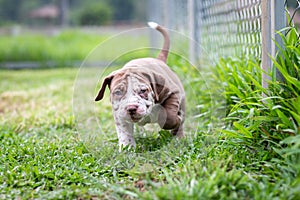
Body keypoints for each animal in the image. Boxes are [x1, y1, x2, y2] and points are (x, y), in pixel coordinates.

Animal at [95, 22, 185, 150]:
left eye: (143, 90)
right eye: (118, 92)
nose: (131, 108)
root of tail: (159, 60)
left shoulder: (172, 93)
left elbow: (169, 116)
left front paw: (176, 122)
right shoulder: (119, 113)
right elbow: (124, 131)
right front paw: (127, 148)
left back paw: (179, 137)